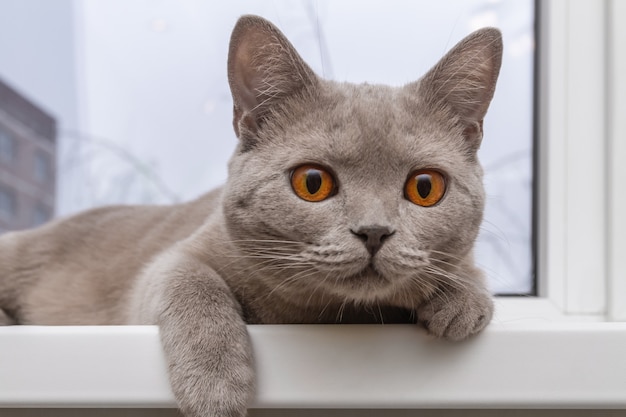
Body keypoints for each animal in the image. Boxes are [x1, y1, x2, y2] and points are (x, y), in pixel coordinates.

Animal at [0, 14, 500, 416]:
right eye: (312, 182)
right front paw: (216, 385)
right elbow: (194, 283)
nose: (374, 231)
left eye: (425, 187)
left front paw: (462, 298)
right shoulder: (169, 263)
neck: (321, 315)